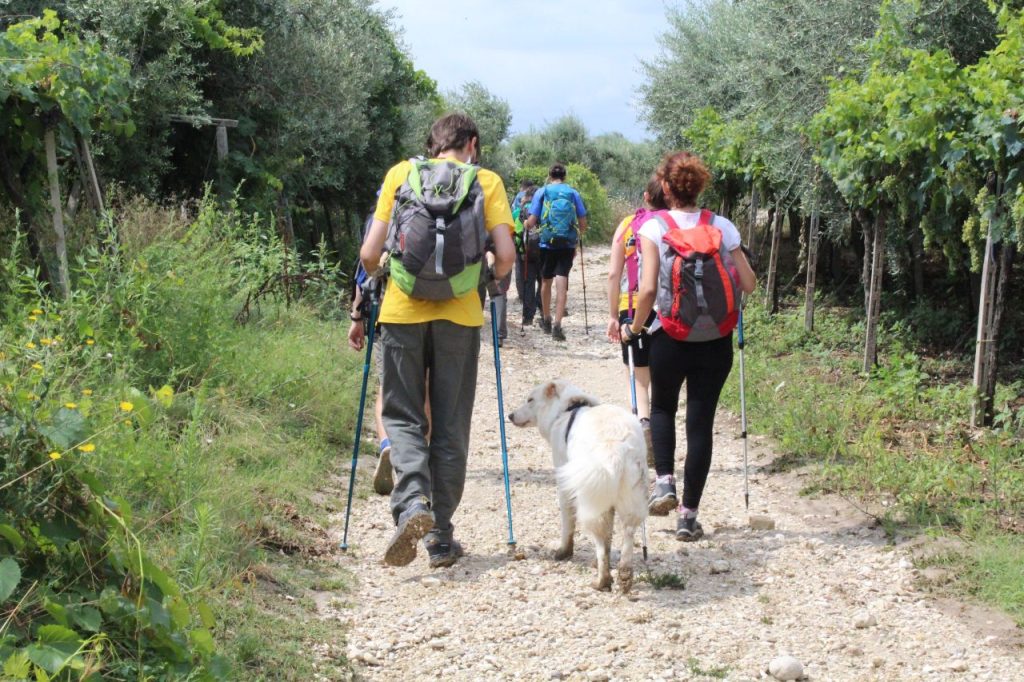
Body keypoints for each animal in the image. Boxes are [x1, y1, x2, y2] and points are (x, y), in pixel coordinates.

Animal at [509, 382, 647, 589]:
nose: (509, 415)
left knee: (599, 539)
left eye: (530, 400)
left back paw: (602, 580)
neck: (566, 409)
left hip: (590, 497)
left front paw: (564, 552)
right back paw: (624, 575)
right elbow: (609, 536)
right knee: (628, 533)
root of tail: (616, 445)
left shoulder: (566, 484)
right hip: (629, 495)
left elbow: (568, 523)